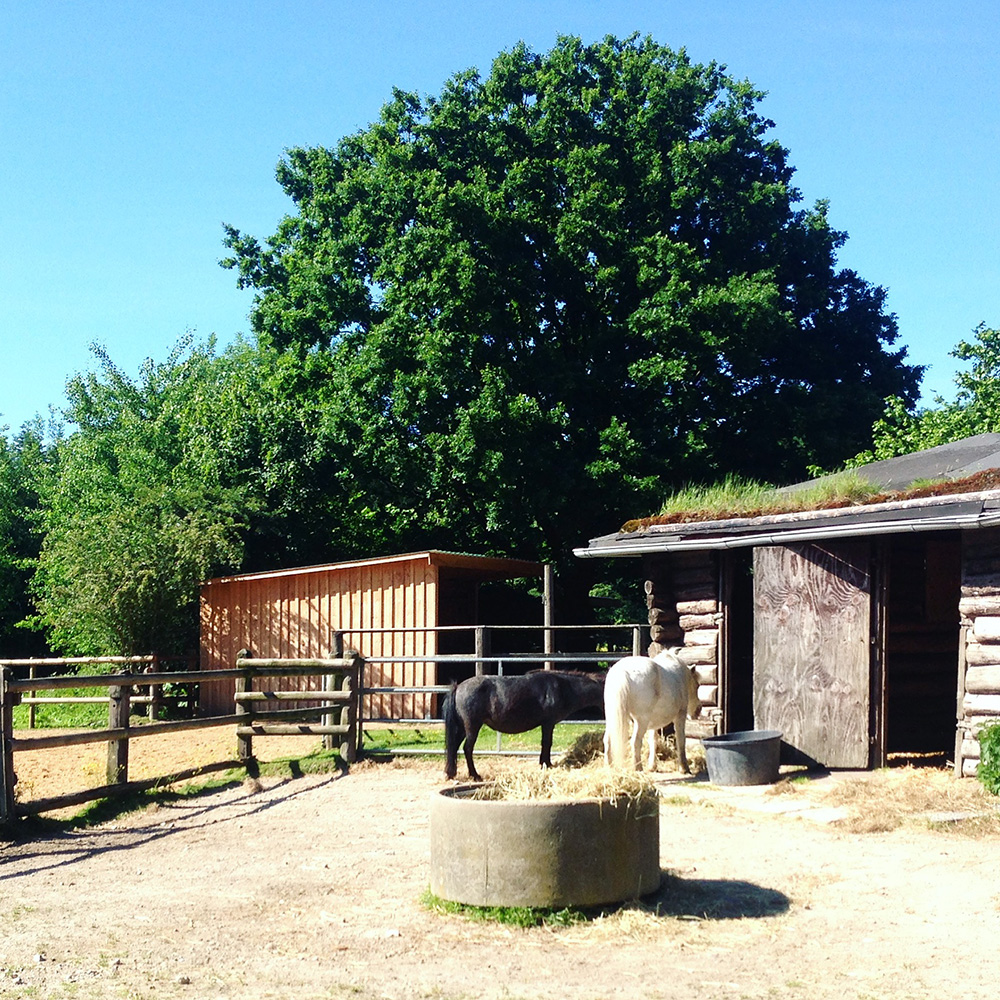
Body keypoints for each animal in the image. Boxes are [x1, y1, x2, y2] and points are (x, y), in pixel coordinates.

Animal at [444, 672, 600, 780]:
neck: (562, 688)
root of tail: (458, 687)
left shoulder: (546, 724)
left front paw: (544, 763)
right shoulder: (548, 723)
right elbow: (547, 743)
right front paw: (547, 764)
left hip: (463, 728)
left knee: (454, 747)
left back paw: (451, 773)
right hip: (472, 726)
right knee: (467, 749)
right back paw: (475, 775)